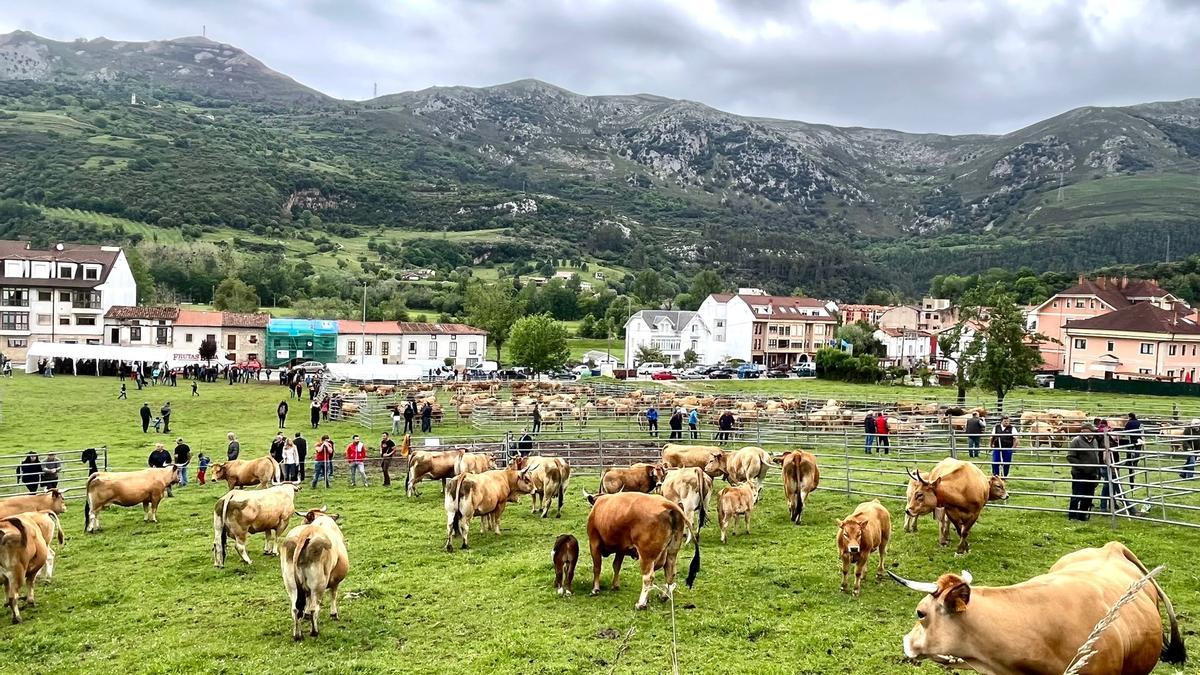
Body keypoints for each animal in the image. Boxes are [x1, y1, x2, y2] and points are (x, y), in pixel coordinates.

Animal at [274, 506, 343, 638]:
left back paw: (297, 635)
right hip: (318, 583)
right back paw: (314, 632)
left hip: (291, 583)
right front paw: (334, 614)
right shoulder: (335, 579)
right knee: (314, 608)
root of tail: (305, 534)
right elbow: (333, 594)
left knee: (295, 608)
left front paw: (305, 615)